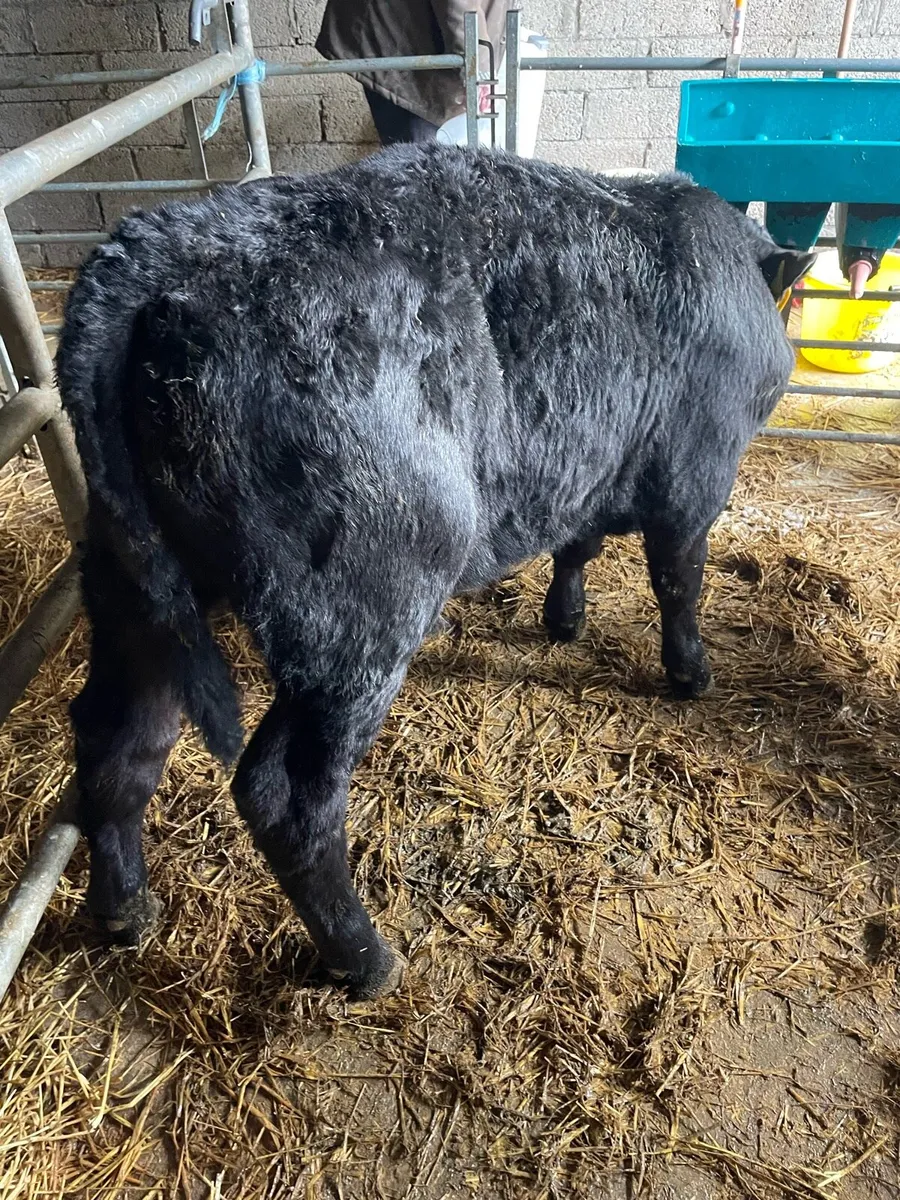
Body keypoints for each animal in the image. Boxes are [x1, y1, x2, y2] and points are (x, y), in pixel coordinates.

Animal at [56, 144, 814, 998]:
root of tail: (155, 249)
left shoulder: (588, 471)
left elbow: (577, 548)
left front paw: (565, 620)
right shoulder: (696, 476)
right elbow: (679, 581)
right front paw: (691, 672)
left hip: (135, 590)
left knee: (120, 737)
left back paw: (124, 911)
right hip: (363, 610)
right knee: (285, 793)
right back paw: (365, 960)